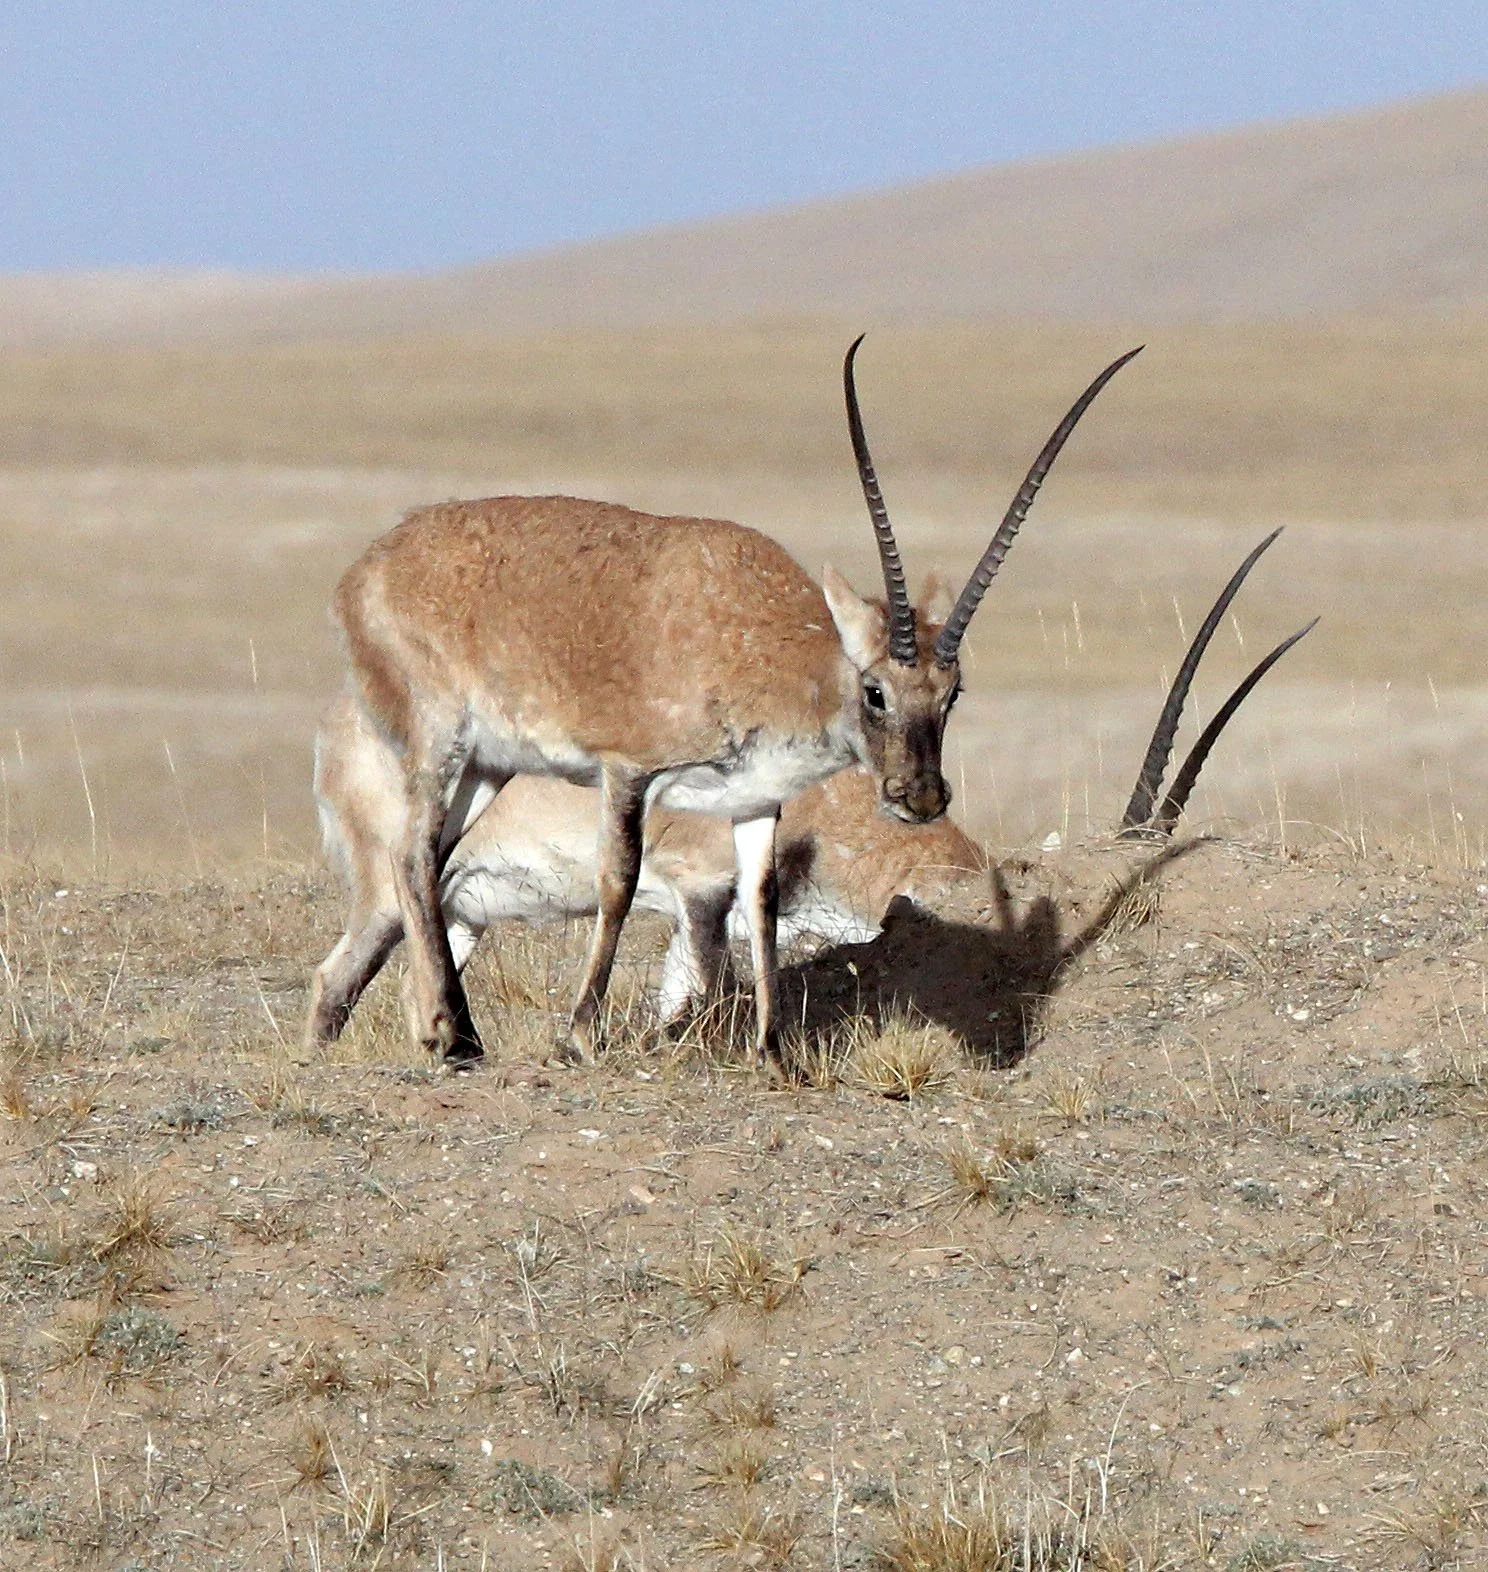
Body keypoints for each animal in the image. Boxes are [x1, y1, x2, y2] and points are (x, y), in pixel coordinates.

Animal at [311, 340, 1142, 1071]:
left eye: (953, 692)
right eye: (875, 689)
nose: (921, 796)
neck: (758, 639)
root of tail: (366, 569)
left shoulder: (755, 804)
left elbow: (763, 904)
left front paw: (774, 1055)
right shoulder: (631, 776)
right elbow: (620, 884)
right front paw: (579, 1038)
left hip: (486, 766)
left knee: (427, 870)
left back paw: (456, 1036)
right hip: (439, 743)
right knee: (409, 857)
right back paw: (453, 1037)